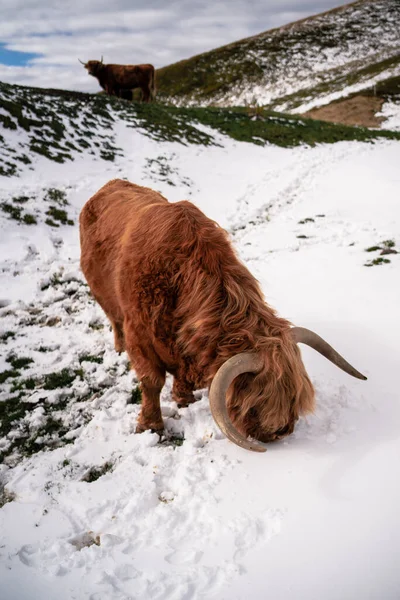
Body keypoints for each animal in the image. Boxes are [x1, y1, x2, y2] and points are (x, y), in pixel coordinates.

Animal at [79, 180, 368, 452]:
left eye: (295, 397)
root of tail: (111, 184)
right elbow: (152, 382)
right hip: (102, 294)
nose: (281, 432)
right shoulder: (139, 336)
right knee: (114, 319)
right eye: (257, 401)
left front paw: (184, 399)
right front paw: (150, 426)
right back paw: (118, 347)